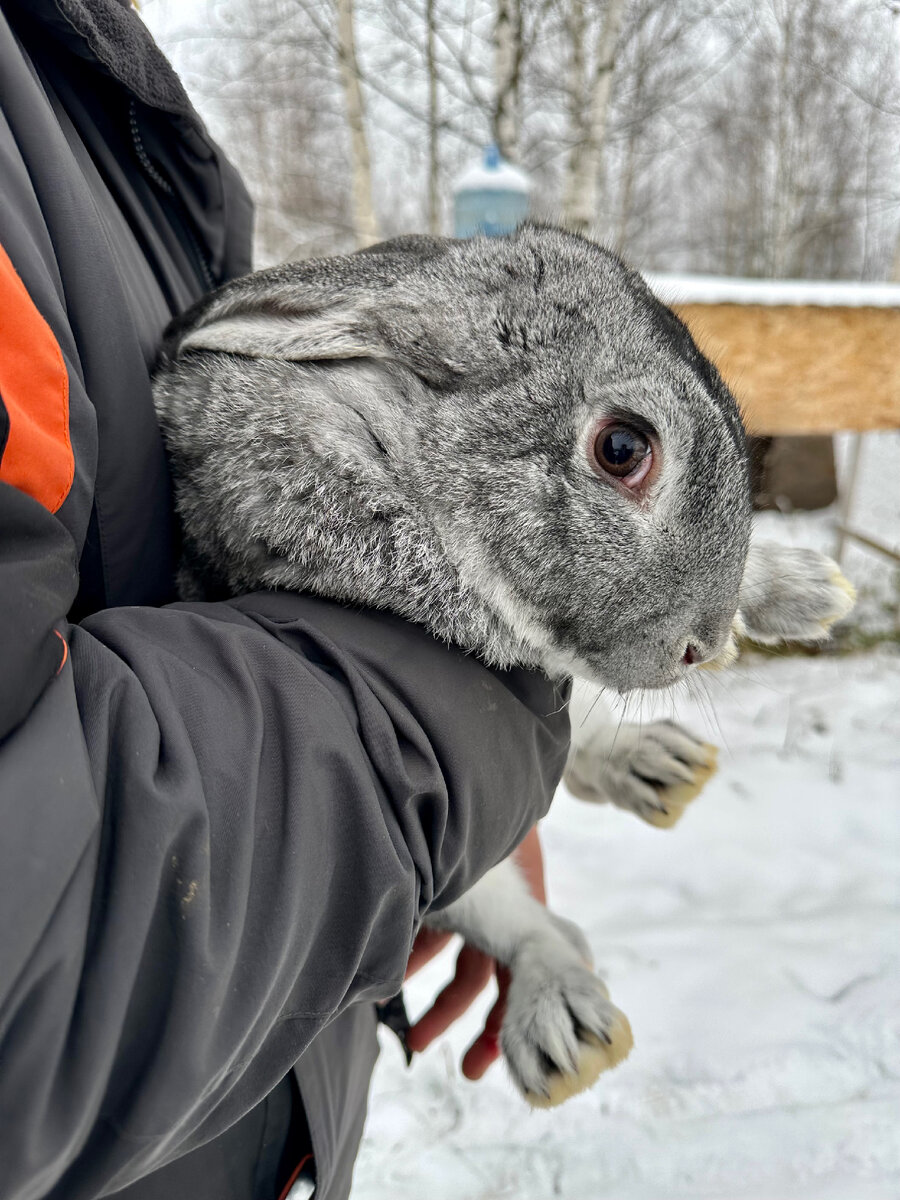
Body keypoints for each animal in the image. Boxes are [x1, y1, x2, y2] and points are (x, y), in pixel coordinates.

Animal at [153, 225, 854, 1104]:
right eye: (622, 447)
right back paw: (567, 1034)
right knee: (531, 928)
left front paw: (808, 589)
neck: (400, 454)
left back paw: (664, 765)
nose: (701, 638)